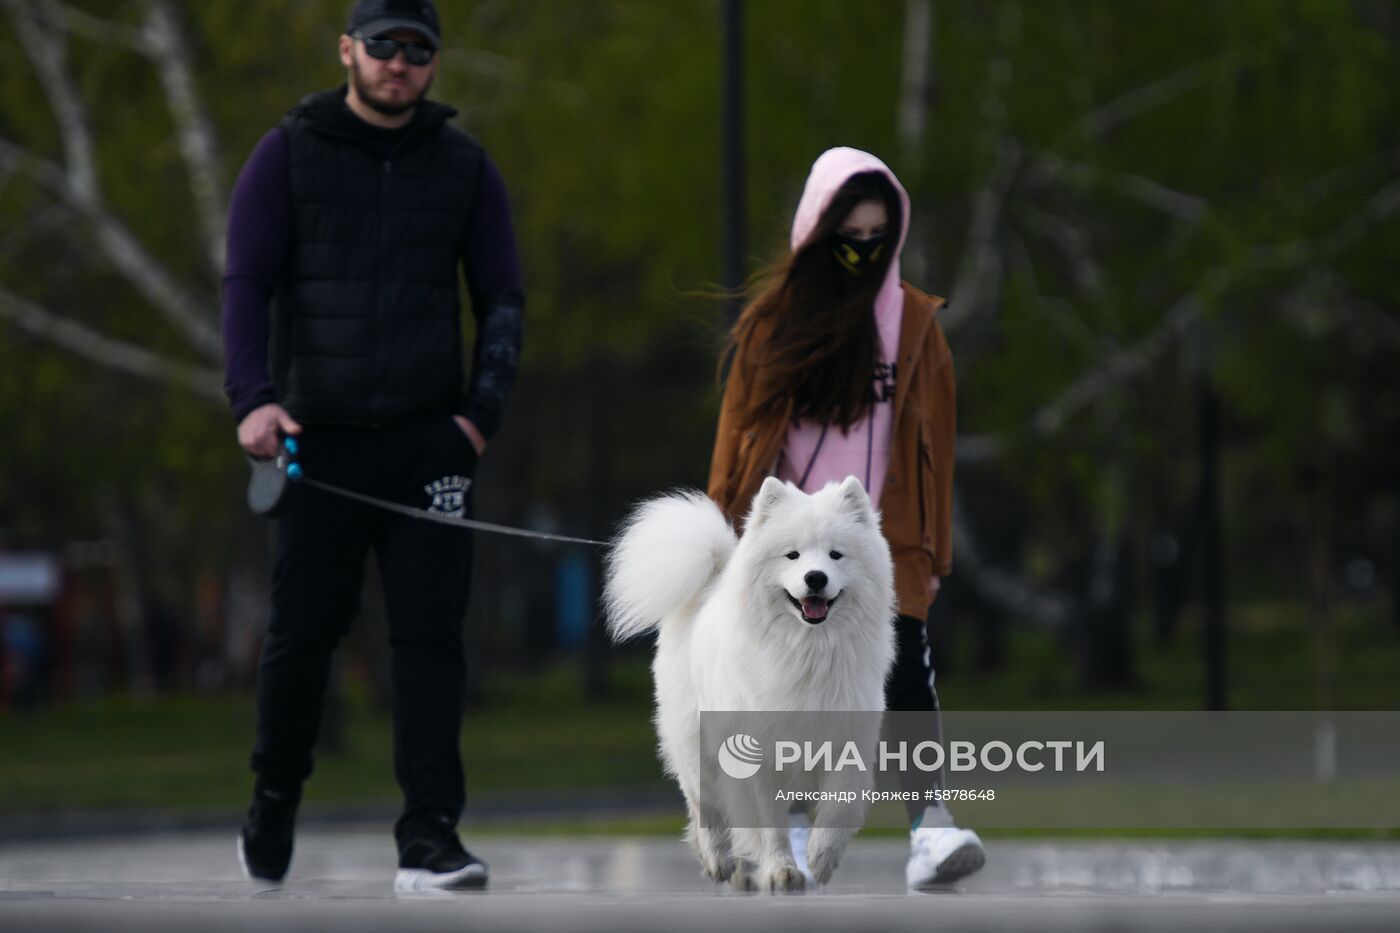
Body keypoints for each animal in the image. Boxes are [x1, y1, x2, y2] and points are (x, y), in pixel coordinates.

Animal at [604, 476, 890, 890]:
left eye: (836, 555)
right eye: (792, 556)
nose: (815, 578)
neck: (808, 651)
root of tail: (709, 584)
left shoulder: (846, 741)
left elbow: (840, 805)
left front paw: (821, 858)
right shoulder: (760, 756)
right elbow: (769, 825)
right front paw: (782, 871)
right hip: (696, 744)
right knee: (704, 807)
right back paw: (719, 861)